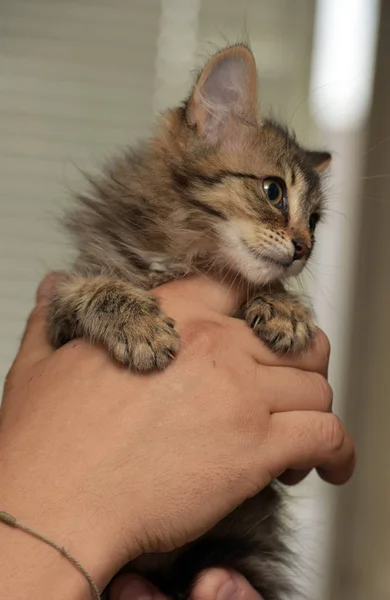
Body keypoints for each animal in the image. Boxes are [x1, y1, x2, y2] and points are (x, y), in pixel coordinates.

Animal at [48, 43, 330, 600]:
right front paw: (140, 327)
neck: (186, 252)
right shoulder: (62, 310)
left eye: (315, 222)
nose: (302, 250)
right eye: (273, 192)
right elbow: (93, 289)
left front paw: (283, 306)